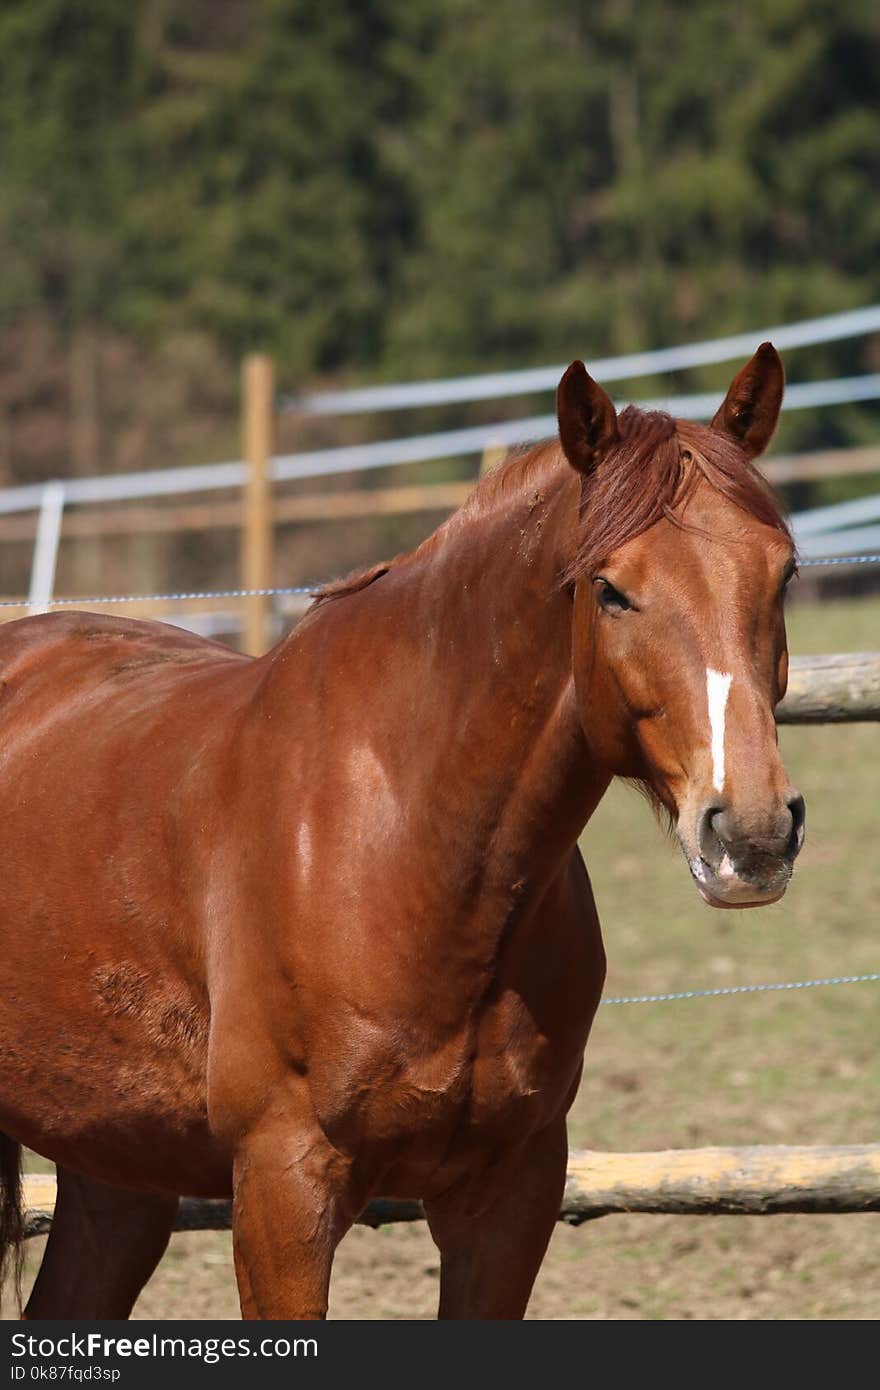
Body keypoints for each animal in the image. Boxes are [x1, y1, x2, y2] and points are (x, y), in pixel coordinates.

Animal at [0, 344, 800, 1312]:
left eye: (785, 573)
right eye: (610, 589)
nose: (752, 834)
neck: (414, 850)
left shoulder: (510, 1193)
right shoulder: (283, 1186)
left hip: (115, 1161)